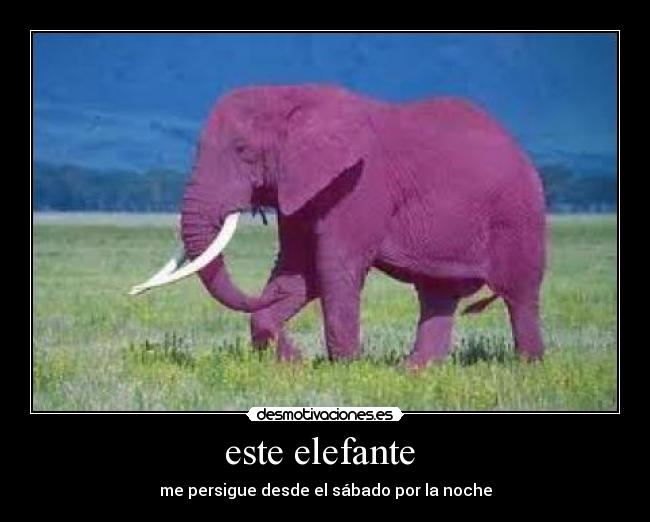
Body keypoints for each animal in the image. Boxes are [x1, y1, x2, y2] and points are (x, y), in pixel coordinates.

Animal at [130, 84, 546, 368]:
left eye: (242, 151)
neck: (292, 96)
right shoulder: (302, 189)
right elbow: (301, 269)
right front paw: (293, 366)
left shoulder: (358, 183)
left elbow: (332, 267)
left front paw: (345, 368)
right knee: (437, 294)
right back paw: (414, 372)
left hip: (518, 214)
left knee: (520, 294)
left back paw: (528, 367)